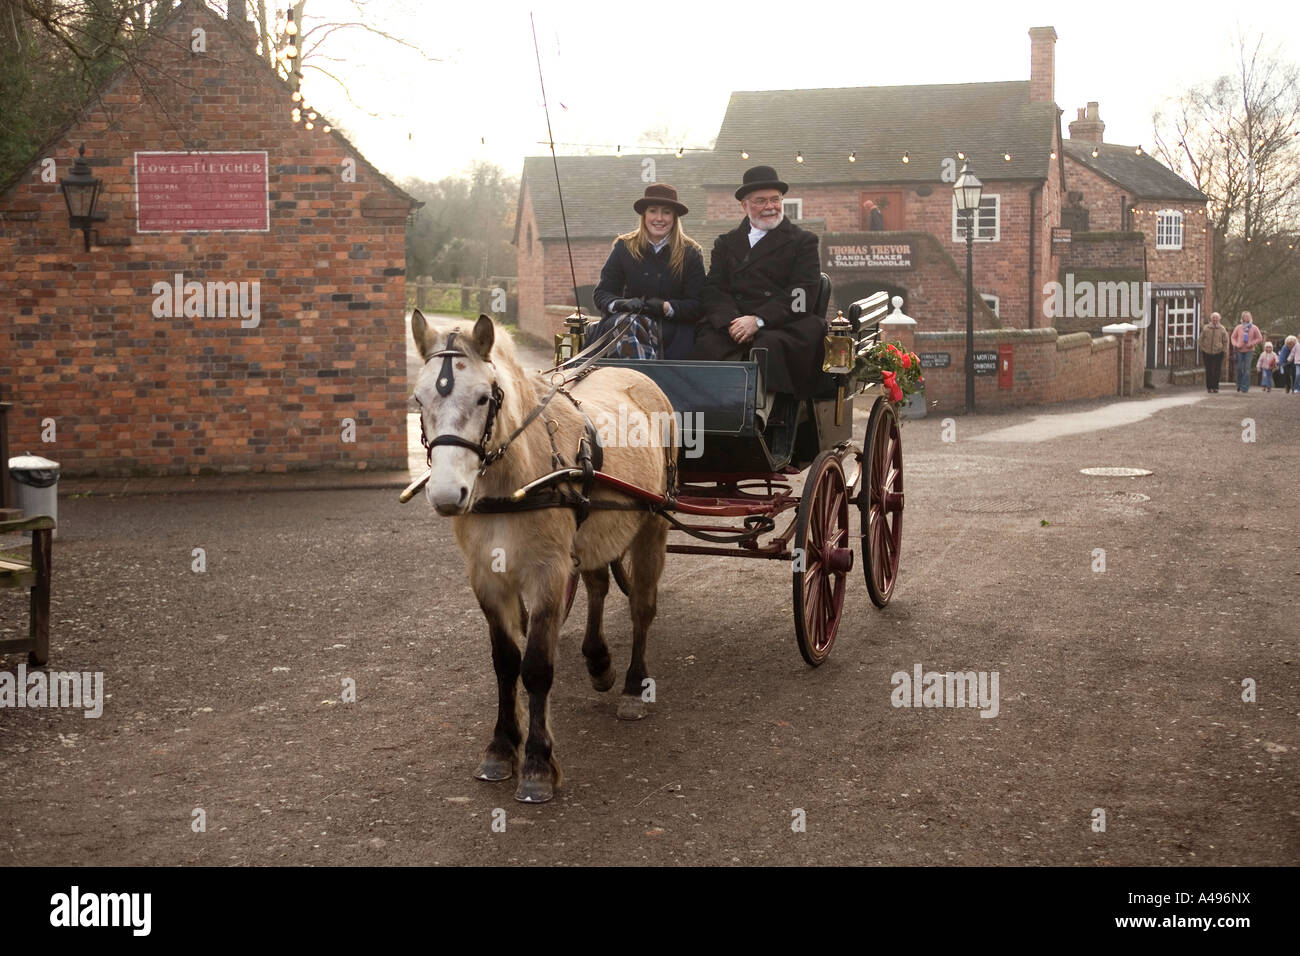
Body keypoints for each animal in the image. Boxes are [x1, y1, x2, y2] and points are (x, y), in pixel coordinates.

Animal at [410, 310, 676, 806]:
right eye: (418, 398)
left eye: (484, 397)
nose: (446, 495)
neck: (516, 481)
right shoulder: (487, 577)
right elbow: (505, 662)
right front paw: (501, 747)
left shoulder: (547, 573)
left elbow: (535, 666)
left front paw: (536, 763)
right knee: (597, 586)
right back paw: (598, 662)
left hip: (653, 522)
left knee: (642, 607)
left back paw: (634, 686)